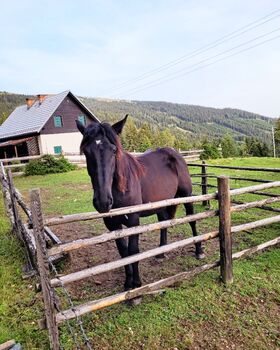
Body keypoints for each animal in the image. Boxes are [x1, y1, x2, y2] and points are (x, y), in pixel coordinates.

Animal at [76, 116, 203, 292]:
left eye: (113, 150)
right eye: (87, 152)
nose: (103, 202)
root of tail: (175, 154)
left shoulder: (133, 221)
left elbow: (133, 250)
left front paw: (136, 284)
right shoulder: (112, 224)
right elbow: (123, 252)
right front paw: (127, 283)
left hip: (186, 196)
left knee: (192, 220)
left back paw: (198, 251)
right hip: (160, 204)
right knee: (163, 222)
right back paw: (160, 253)